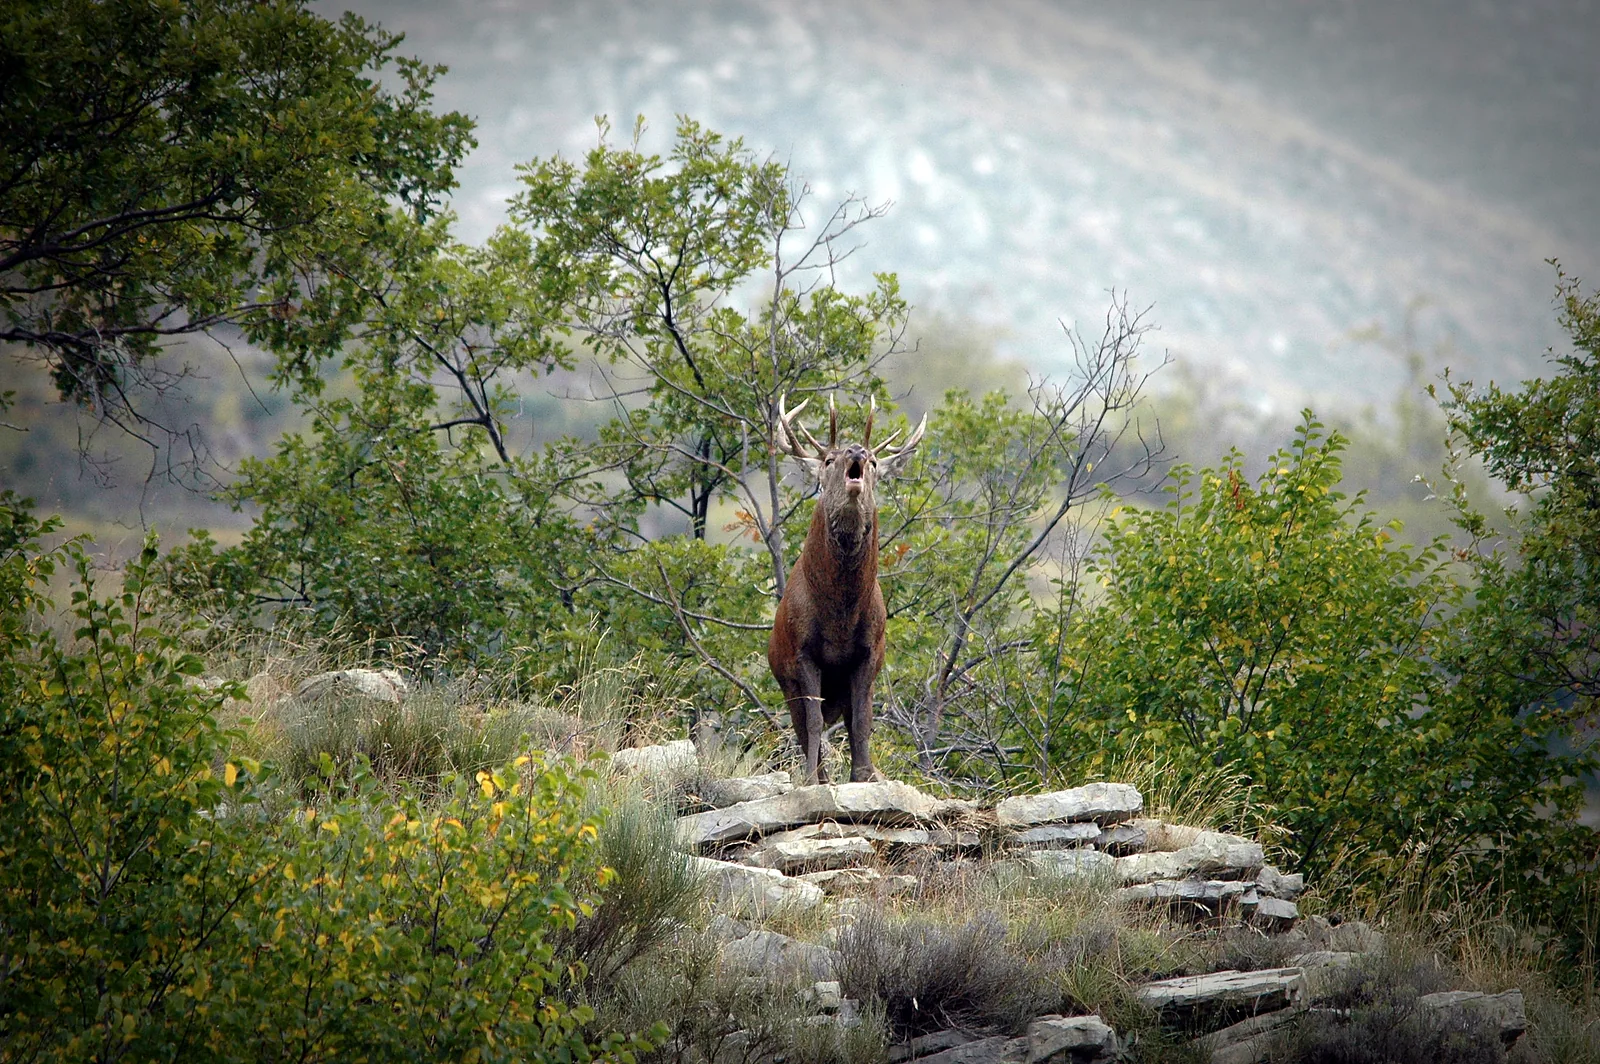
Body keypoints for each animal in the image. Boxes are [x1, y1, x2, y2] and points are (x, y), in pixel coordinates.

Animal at [768, 394, 927, 785]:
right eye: (828, 459)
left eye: (874, 462)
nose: (856, 450)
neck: (839, 615)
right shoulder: (802, 652)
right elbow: (812, 723)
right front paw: (812, 780)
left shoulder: (870, 652)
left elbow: (863, 721)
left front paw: (865, 774)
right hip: (785, 679)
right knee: (803, 726)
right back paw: (820, 775)